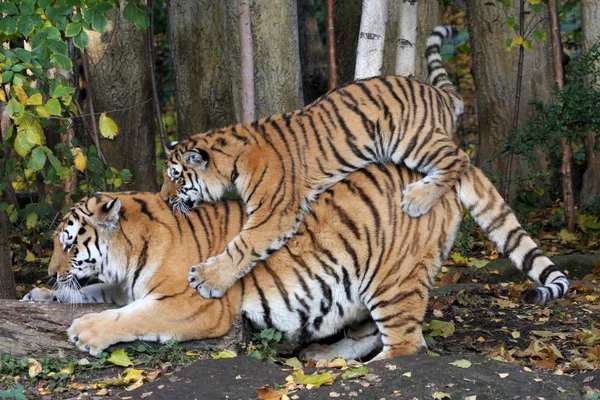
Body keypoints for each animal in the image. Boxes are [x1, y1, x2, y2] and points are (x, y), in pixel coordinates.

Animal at [23, 164, 568, 358]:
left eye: (68, 244)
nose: (47, 270)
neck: (130, 252)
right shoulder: (118, 283)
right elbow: (97, 292)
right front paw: (40, 294)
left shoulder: (196, 305)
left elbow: (130, 315)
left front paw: (87, 331)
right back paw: (326, 357)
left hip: (392, 279)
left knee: (408, 347)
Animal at [162, 26, 472, 298]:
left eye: (176, 176)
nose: (164, 198)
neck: (231, 161)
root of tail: (437, 92)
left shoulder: (274, 213)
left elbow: (242, 246)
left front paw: (207, 279)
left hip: (408, 138)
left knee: (460, 157)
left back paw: (418, 198)